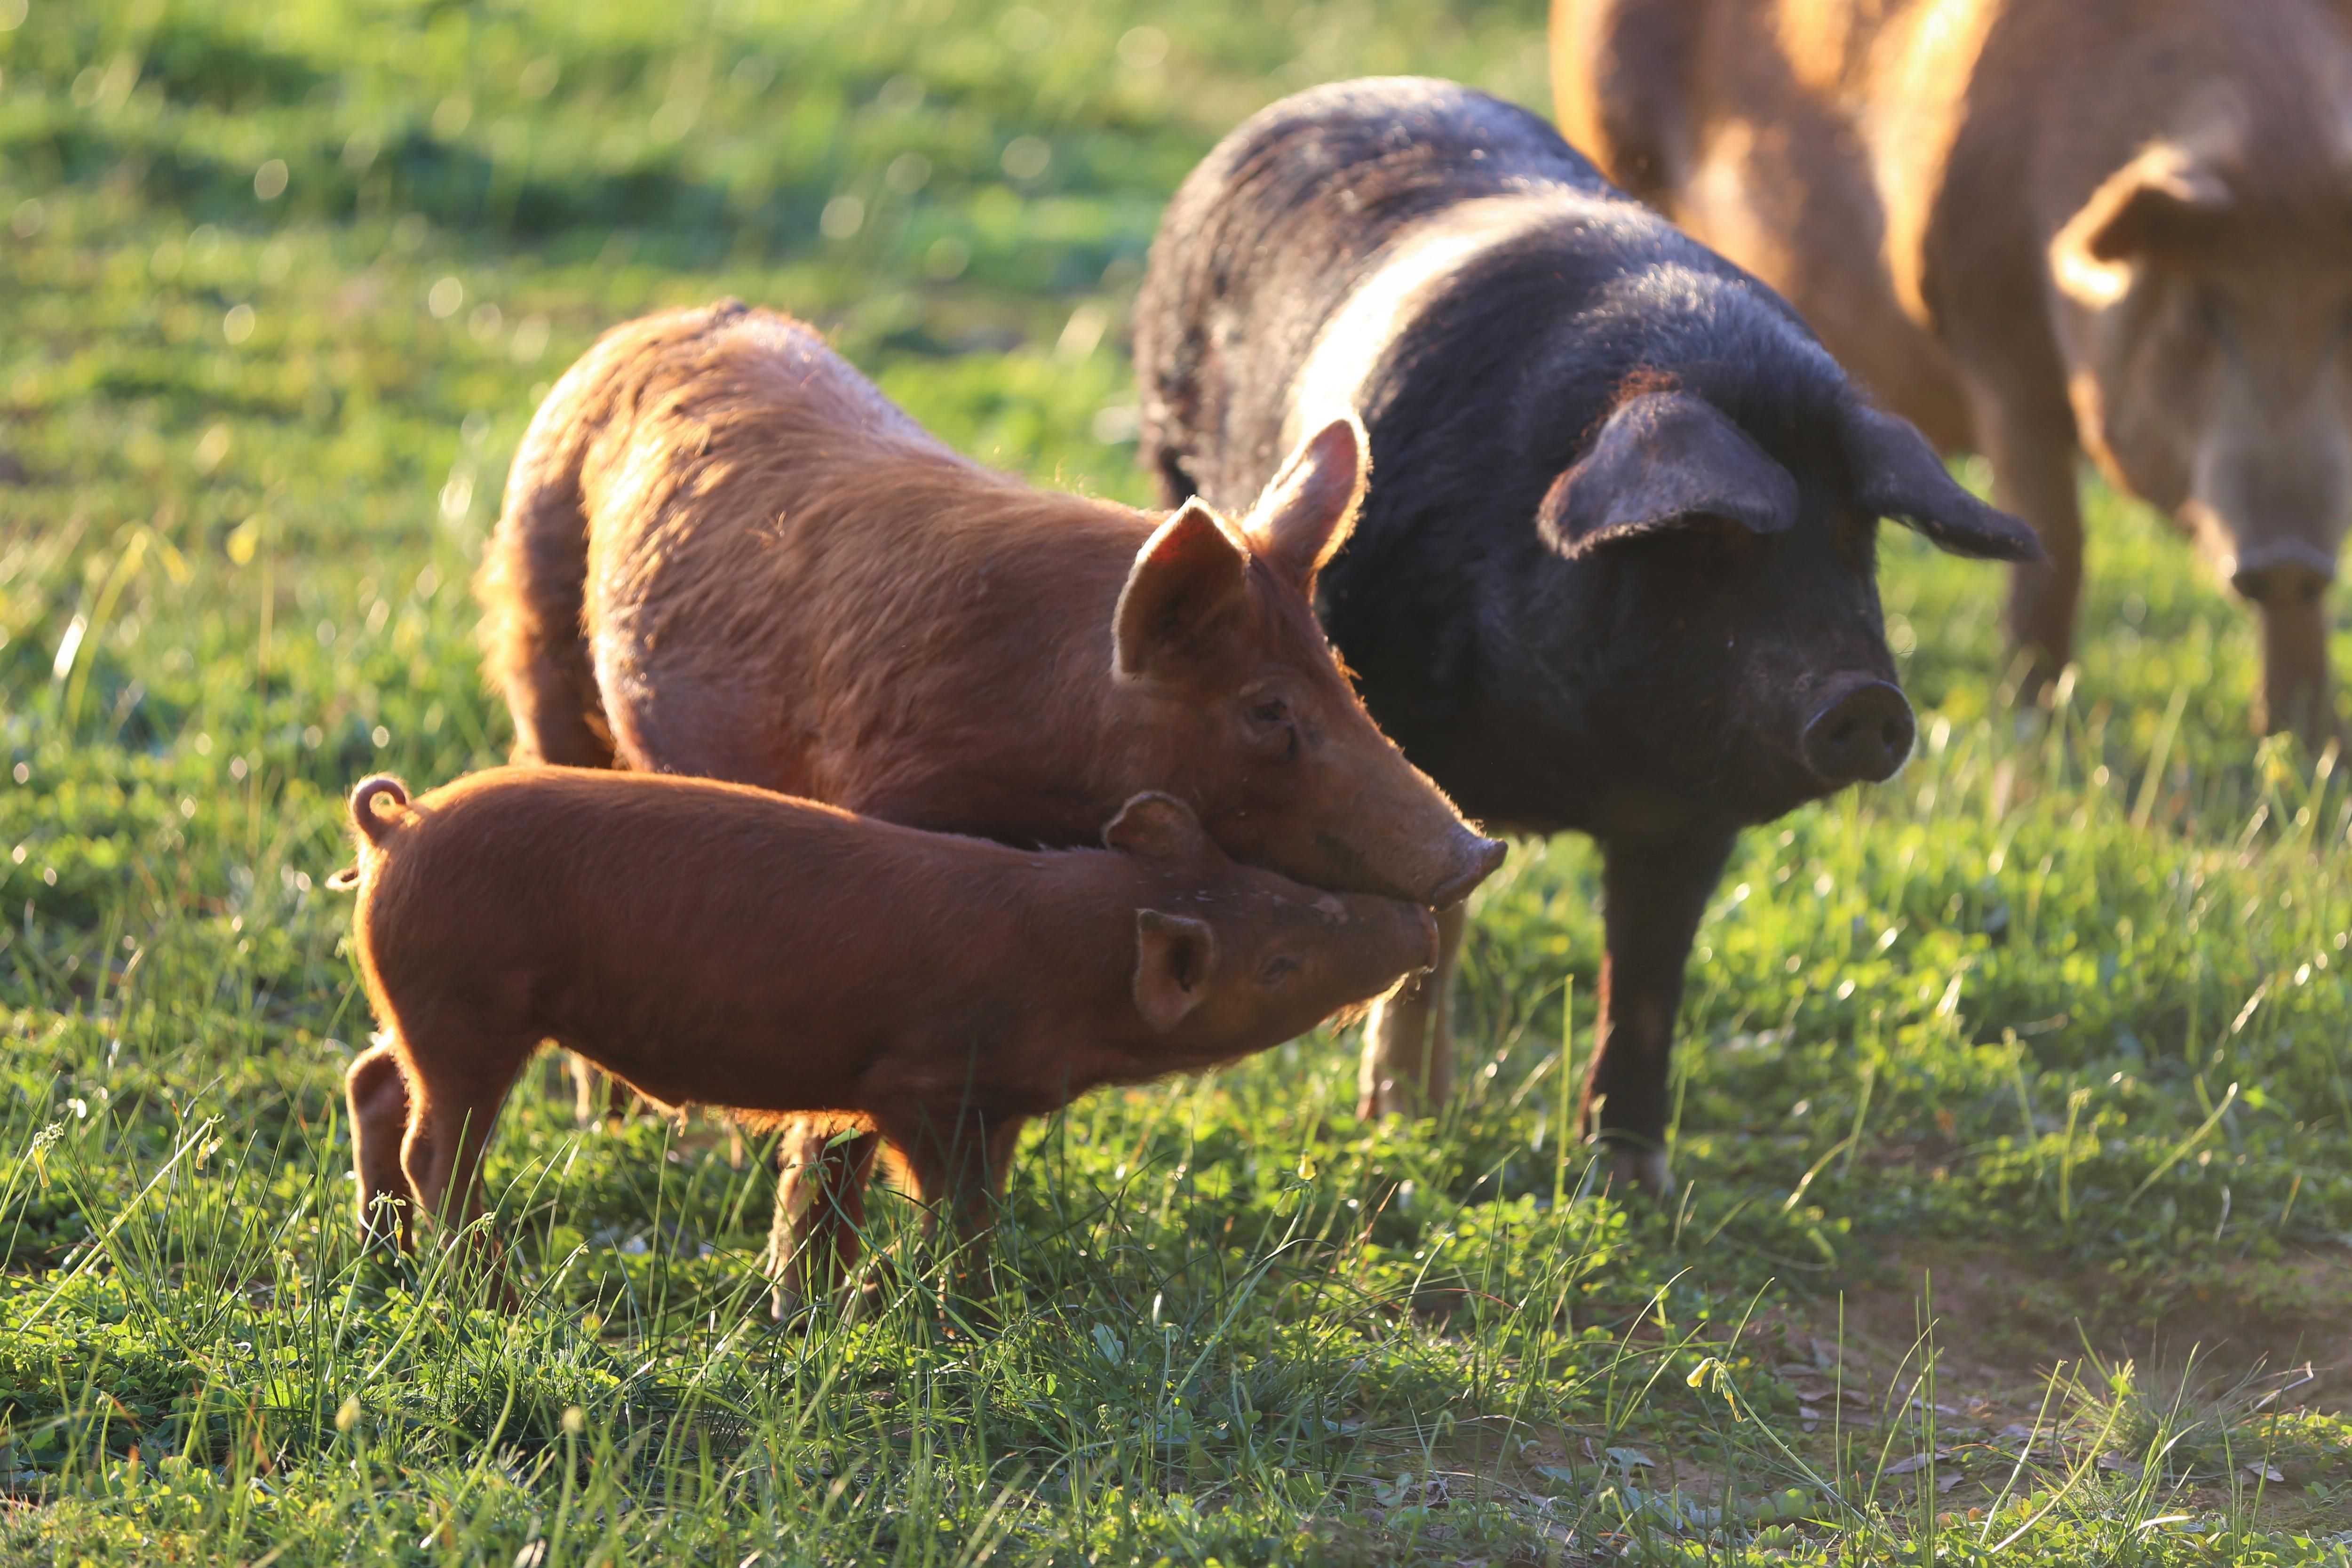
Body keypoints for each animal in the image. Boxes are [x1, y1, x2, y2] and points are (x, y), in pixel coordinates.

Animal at [336, 770, 1437, 1306]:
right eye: (1279, 962)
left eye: (1278, 883)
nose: (1416, 921)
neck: (1068, 951)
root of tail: (399, 827)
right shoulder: (925, 1084)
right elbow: (957, 1209)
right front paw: (970, 1314)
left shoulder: (997, 1102)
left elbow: (965, 1199)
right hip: (471, 1005)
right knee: (438, 1143)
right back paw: (498, 1296)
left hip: (422, 1008)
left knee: (371, 1080)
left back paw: (384, 1251)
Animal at [472, 302, 1501, 1266]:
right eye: (1269, 709)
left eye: (1343, 676)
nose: (1477, 851)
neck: (1049, 736)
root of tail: (662, 321)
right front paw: (806, 1302)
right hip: (539, 634)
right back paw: (612, 1130)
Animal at [1133, 78, 2038, 1191]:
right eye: (1709, 544)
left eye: (1853, 538)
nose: (1866, 699)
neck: (1563, 760)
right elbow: (1422, 931)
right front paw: (1401, 1127)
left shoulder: (1689, 816)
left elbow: (1645, 980)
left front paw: (1630, 1178)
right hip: (1170, 455)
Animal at [1553, 0, 2352, 742]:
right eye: (2205, 309)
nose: (2286, 554)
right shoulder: (1992, 349)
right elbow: (2057, 548)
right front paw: (2032, 732)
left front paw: (2307, 746)